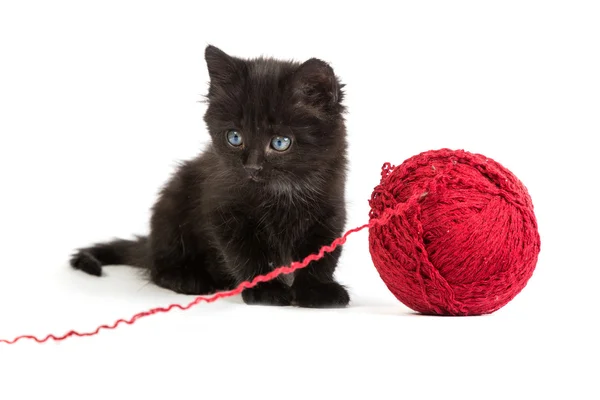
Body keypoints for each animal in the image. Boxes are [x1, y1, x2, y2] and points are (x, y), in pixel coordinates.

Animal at [70, 46, 350, 310]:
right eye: (234, 137)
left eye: (280, 142)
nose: (251, 167)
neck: (280, 192)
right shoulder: (224, 210)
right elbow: (247, 254)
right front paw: (266, 290)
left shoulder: (329, 211)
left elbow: (322, 255)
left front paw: (317, 290)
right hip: (172, 202)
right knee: (158, 267)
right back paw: (188, 278)